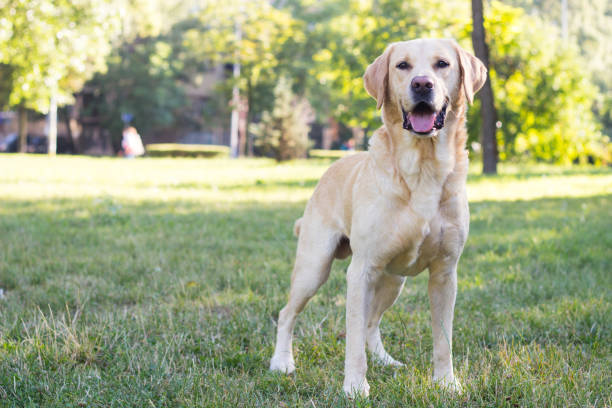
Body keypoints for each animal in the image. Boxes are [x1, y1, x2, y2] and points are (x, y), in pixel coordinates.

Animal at [270, 38, 486, 396]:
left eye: (442, 64)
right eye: (402, 65)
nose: (422, 84)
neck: (423, 168)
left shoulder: (445, 273)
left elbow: (443, 339)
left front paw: (446, 382)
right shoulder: (362, 272)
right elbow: (353, 340)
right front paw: (355, 386)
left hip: (394, 280)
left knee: (372, 323)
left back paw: (386, 361)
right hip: (314, 266)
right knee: (288, 313)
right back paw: (282, 362)